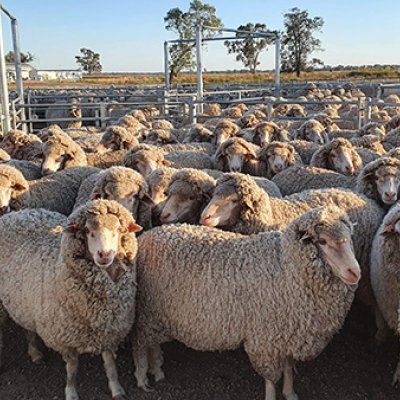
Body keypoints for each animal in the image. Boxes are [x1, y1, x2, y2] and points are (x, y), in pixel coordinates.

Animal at [0, 200, 142, 400]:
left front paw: (116, 388)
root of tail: (16, 214)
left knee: (27, 327)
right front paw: (71, 391)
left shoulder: (107, 330)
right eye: (88, 231)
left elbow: (110, 363)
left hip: (25, 301)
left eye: (118, 230)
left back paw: (35, 353)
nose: (104, 254)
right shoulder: (66, 339)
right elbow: (72, 369)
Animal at [133, 208, 360, 398]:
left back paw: (157, 371)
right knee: (142, 345)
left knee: (152, 343)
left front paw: (290, 393)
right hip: (146, 311)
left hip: (156, 315)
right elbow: (271, 379)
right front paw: (273, 395)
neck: (287, 266)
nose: (355, 272)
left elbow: (288, 367)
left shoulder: (288, 333)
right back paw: (143, 377)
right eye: (322, 241)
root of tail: (145, 237)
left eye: (349, 239)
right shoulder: (265, 340)